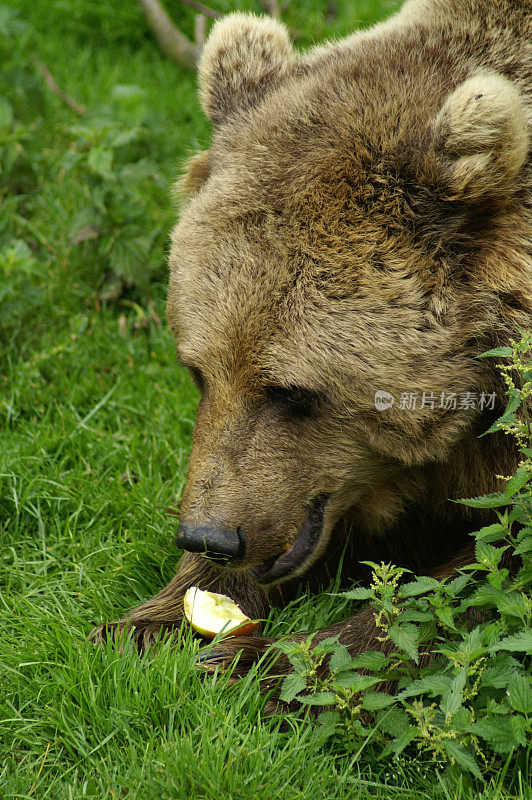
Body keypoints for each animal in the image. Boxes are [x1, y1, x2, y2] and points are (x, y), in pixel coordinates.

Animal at [90, 0, 528, 688]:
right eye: (197, 371)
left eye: (291, 391)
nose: (209, 536)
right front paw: (148, 621)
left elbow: (482, 580)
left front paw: (259, 663)